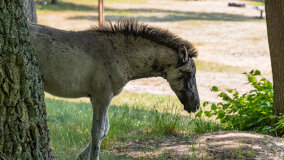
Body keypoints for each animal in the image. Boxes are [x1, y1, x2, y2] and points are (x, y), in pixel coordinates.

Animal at [29, 20, 200, 160]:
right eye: (189, 74)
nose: (196, 105)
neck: (120, 54)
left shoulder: (104, 98)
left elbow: (105, 130)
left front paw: (81, 155)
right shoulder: (102, 97)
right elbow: (97, 131)